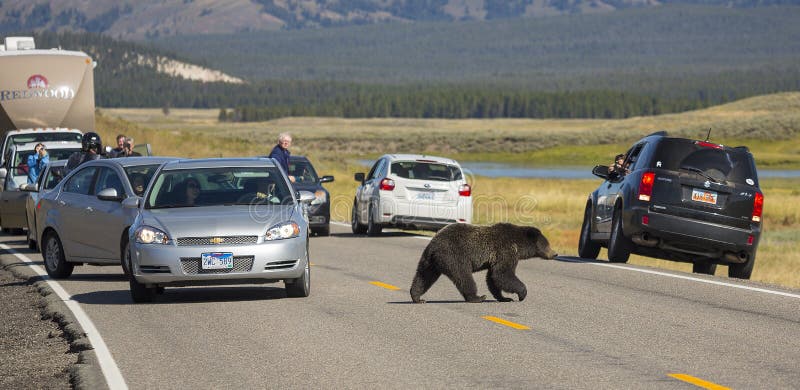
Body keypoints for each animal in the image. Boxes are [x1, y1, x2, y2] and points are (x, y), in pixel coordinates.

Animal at [412, 222, 556, 304]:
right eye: (547, 244)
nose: (555, 253)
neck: (519, 245)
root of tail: (433, 244)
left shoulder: (496, 258)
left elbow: (493, 277)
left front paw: (504, 298)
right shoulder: (505, 250)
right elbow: (503, 274)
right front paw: (521, 294)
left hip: (429, 261)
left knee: (423, 276)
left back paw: (417, 298)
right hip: (455, 255)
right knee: (464, 277)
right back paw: (477, 297)